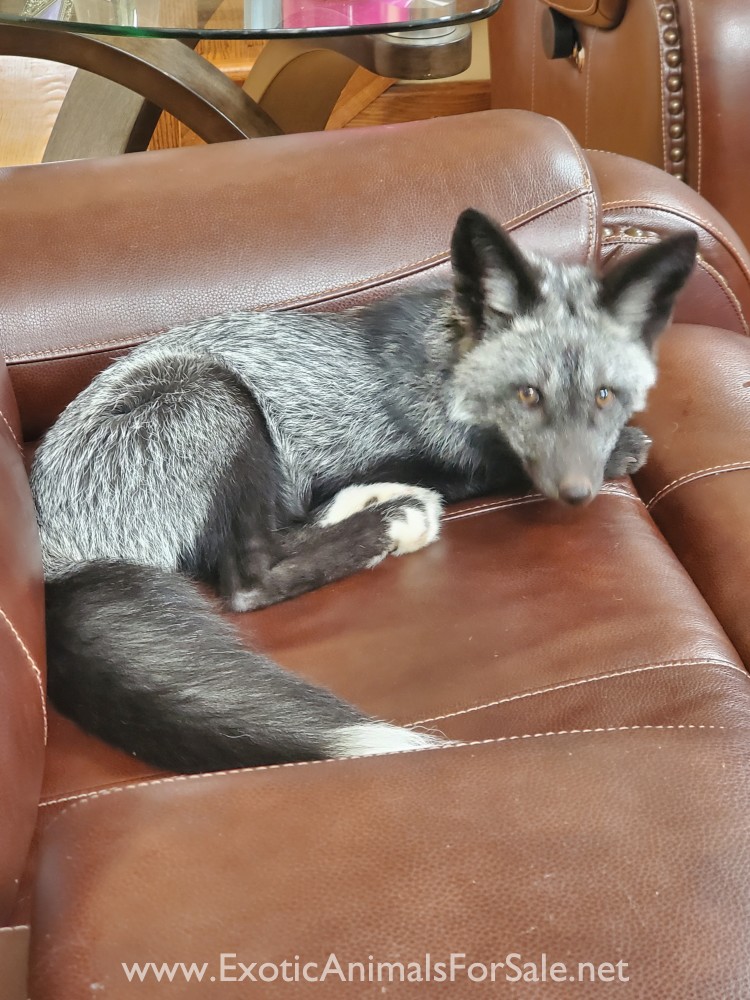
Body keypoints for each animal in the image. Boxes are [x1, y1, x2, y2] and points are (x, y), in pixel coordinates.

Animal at [30, 209, 697, 773]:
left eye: (605, 396)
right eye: (527, 396)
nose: (578, 491)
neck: (438, 373)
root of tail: (56, 558)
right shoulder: (402, 456)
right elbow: (487, 469)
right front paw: (621, 451)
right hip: (220, 400)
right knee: (250, 576)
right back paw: (392, 517)